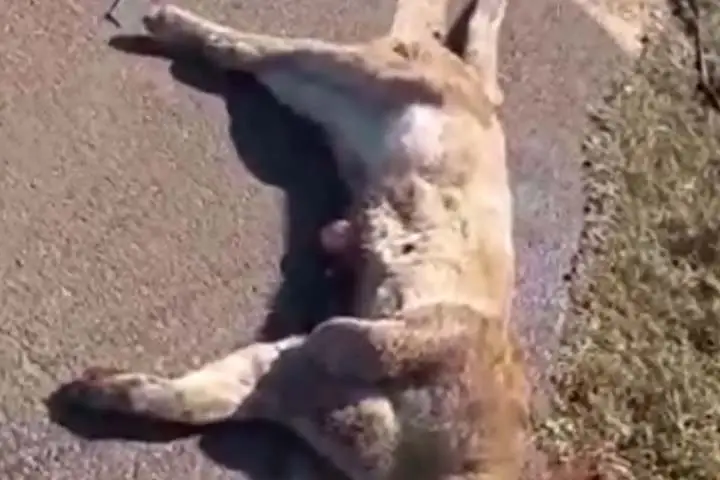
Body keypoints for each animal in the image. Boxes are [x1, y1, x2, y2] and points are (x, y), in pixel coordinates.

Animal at [59, 1, 532, 479]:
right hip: (373, 71)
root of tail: (479, 93)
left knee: (256, 58)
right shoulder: (442, 331)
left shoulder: (286, 380)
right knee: (275, 46)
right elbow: (365, 342)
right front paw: (332, 329)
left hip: (318, 95)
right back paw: (166, 20)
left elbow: (198, 400)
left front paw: (103, 389)